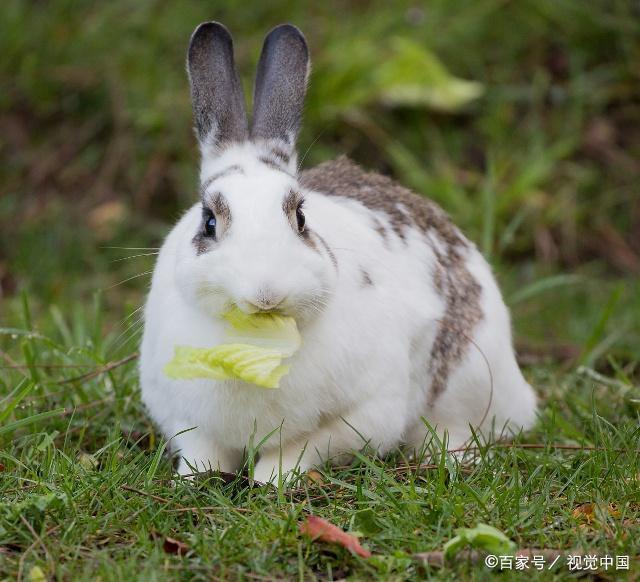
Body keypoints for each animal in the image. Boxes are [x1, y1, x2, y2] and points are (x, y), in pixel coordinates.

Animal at [139, 21, 536, 484]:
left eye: (300, 218)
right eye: (209, 222)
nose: (267, 293)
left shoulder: (363, 413)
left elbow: (303, 448)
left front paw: (271, 481)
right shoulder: (184, 418)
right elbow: (203, 452)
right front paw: (195, 479)